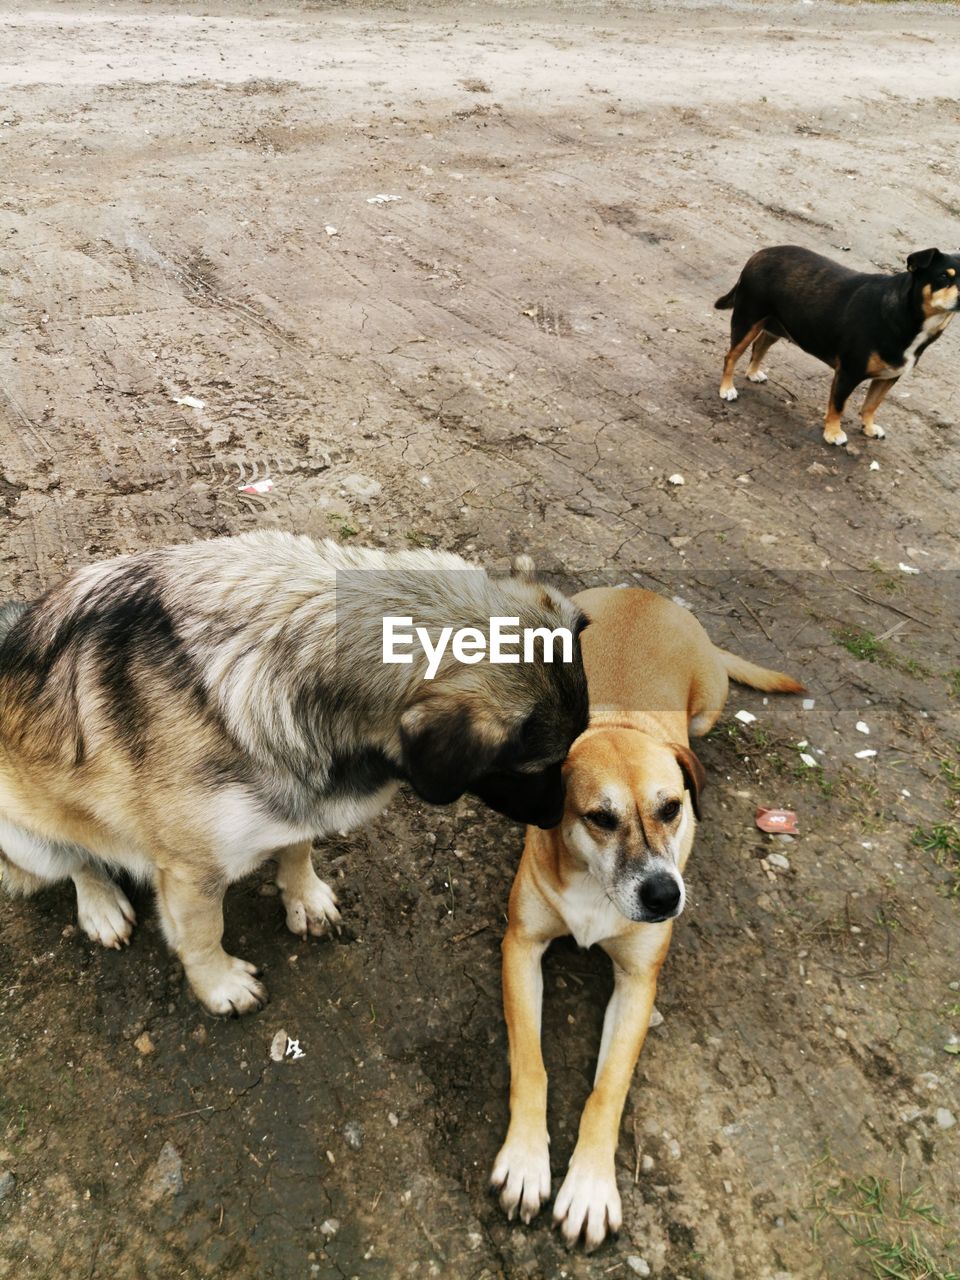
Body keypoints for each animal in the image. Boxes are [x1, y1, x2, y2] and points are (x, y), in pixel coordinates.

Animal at [0, 529, 591, 1008]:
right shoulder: (192, 873)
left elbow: (298, 844)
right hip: (26, 834)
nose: (557, 820)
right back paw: (102, 906)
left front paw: (303, 895)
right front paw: (220, 985)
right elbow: (202, 935)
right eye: (533, 768)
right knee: (78, 862)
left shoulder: (302, 793)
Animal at [488, 588, 803, 1249]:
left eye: (672, 808)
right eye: (600, 818)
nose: (663, 897)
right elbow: (531, 1063)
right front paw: (527, 1161)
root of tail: (648, 594)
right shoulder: (521, 947)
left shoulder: (638, 982)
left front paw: (588, 1186)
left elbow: (608, 1087)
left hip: (707, 709)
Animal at [716, 243, 960, 445]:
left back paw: (753, 372)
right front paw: (833, 433)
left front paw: (869, 427)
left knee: (760, 346)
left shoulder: (889, 377)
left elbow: (872, 404)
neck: (907, 314)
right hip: (748, 320)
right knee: (731, 356)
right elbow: (839, 405)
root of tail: (761, 253)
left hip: (776, 324)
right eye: (943, 277)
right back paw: (726, 388)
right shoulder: (848, 373)